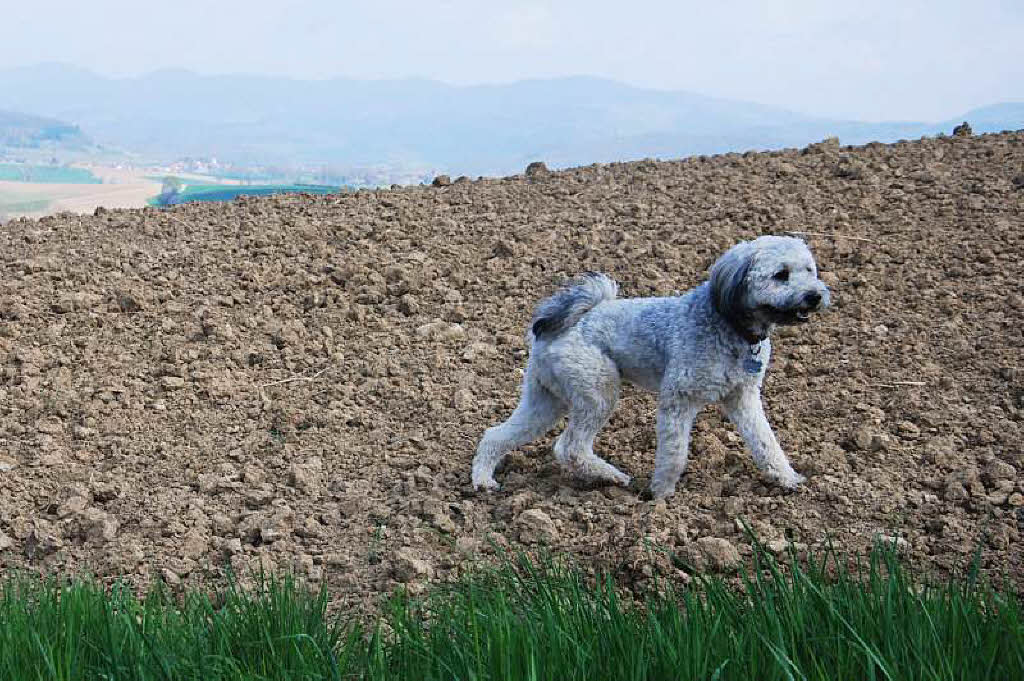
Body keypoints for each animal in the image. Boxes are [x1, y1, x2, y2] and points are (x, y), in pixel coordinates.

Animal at [471, 235, 831, 499]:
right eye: (780, 274)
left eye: (809, 270)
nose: (815, 295)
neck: (730, 324)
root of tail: (566, 322)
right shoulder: (678, 398)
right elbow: (674, 453)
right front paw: (660, 496)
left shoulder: (743, 397)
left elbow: (766, 441)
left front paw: (787, 478)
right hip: (598, 391)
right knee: (570, 447)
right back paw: (612, 476)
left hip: (546, 401)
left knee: (497, 434)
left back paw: (483, 480)